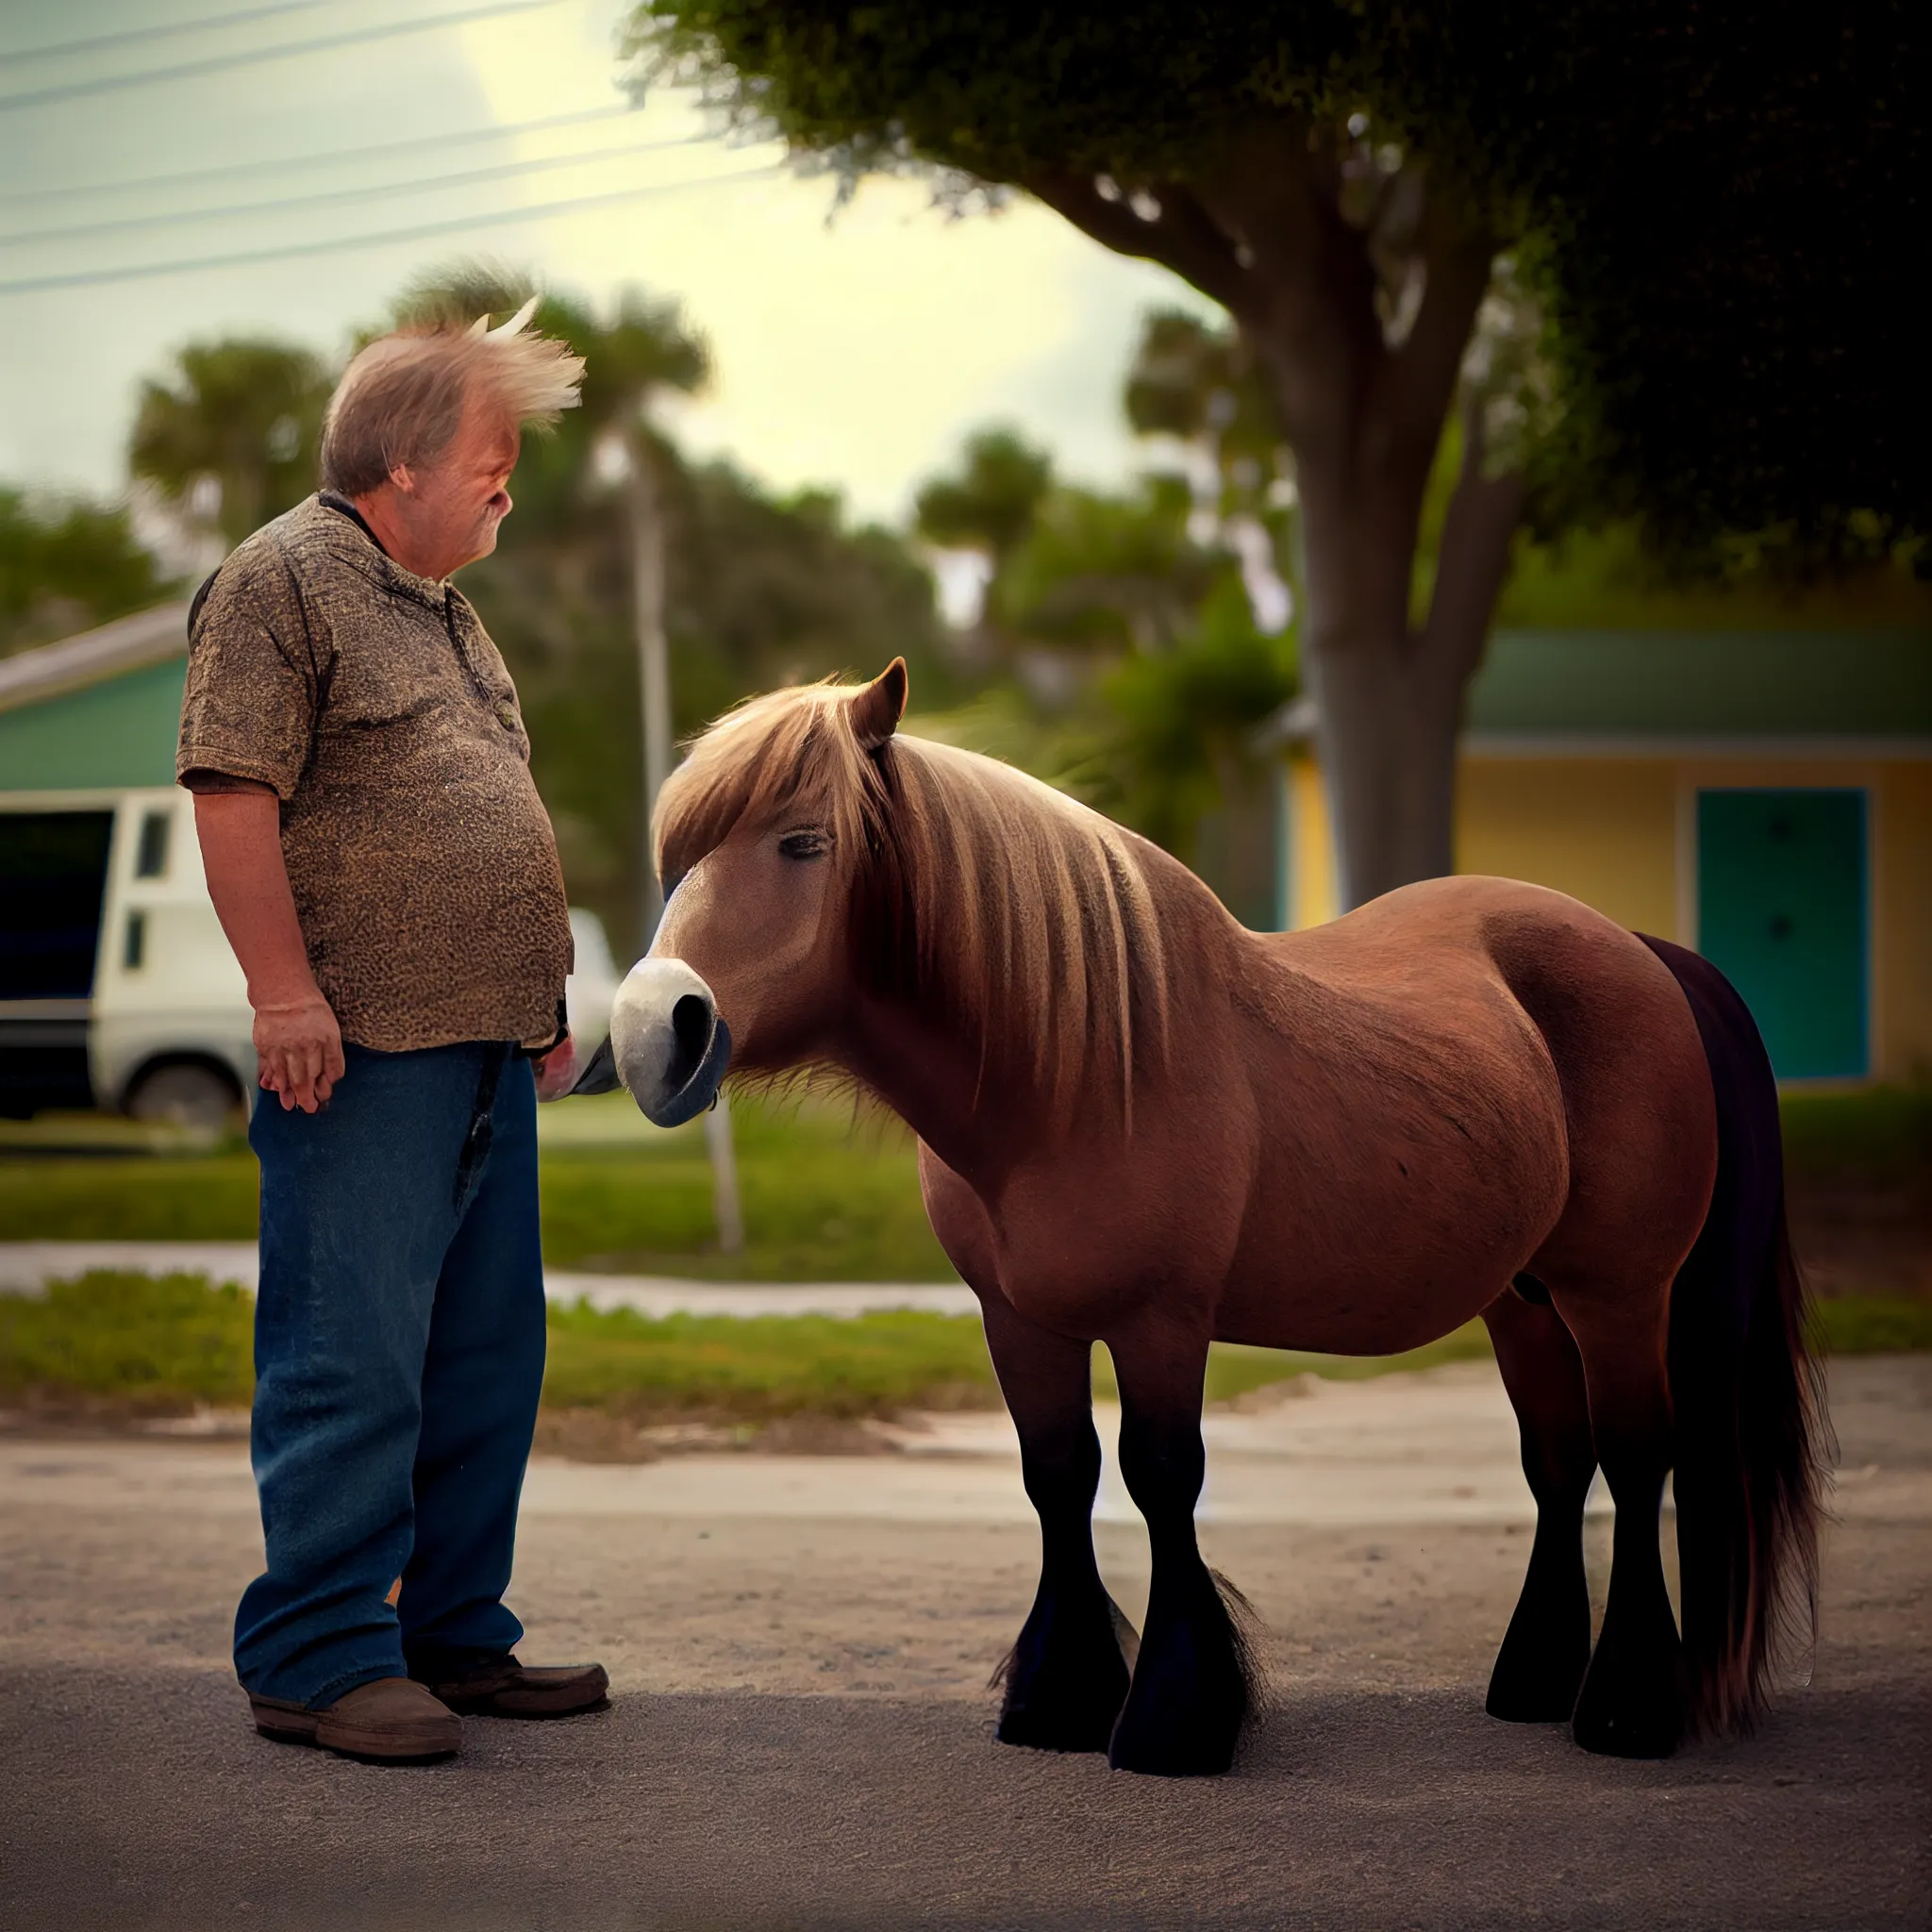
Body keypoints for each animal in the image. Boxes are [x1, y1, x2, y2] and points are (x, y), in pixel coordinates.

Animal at [583, 664, 1824, 1777]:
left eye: (802, 842)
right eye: (677, 857)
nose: (652, 1032)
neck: (1074, 1068)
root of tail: (1642, 953)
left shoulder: (1161, 1320)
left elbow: (1158, 1478)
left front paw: (1175, 1714)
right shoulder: (1019, 1322)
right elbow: (1058, 1475)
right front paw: (1059, 1693)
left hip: (1616, 1296)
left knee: (1636, 1456)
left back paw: (1625, 1704)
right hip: (1521, 1300)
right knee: (1558, 1463)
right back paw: (1533, 1678)